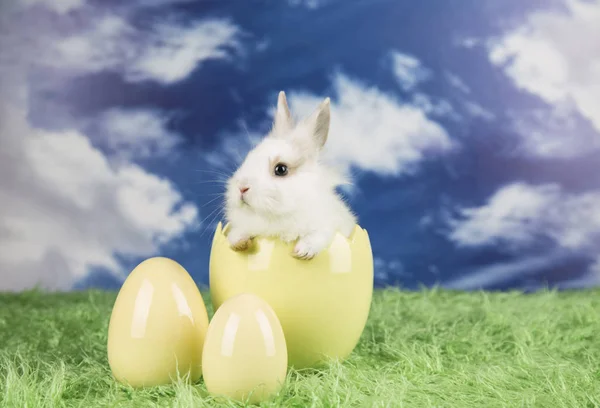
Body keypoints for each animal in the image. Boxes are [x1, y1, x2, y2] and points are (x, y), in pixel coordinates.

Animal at [224, 91, 356, 260]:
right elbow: (235, 234)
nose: (241, 188)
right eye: (248, 158)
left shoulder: (328, 224)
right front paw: (240, 244)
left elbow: (318, 236)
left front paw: (301, 252)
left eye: (281, 169)